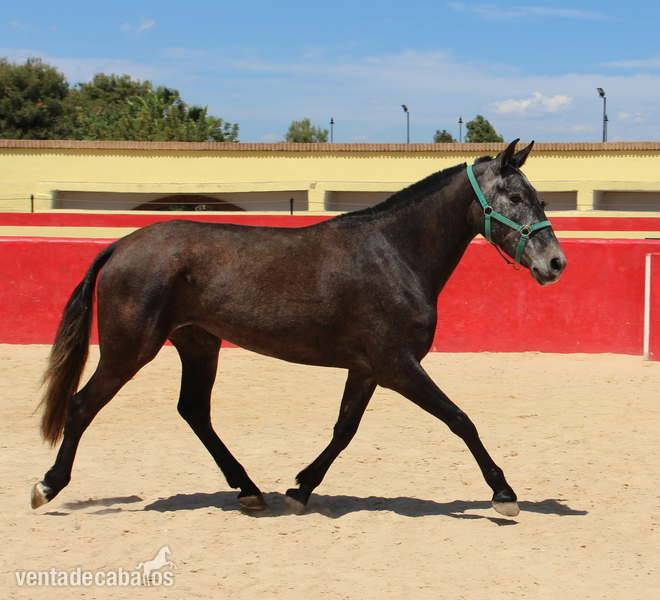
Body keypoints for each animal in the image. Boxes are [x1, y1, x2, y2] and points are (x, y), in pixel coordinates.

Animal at [31, 139, 566, 518]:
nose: (556, 263)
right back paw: (47, 485)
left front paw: (300, 489)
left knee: (194, 411)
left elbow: (344, 430)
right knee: (81, 405)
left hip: (199, 343)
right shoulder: (397, 365)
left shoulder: (368, 369)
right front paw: (504, 493)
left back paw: (249, 491)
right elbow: (459, 419)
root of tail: (120, 245)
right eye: (515, 196)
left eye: (539, 197)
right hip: (130, 348)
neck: (395, 254)